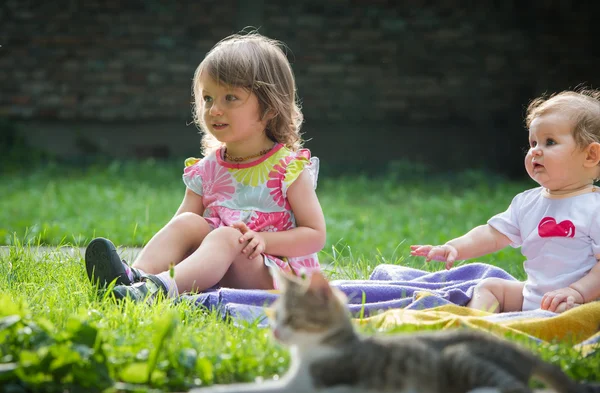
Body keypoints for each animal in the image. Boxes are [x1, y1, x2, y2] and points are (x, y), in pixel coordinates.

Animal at [193, 270, 600, 392]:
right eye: (274, 317)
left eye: (291, 318)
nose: (275, 334)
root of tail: (520, 350)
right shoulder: (293, 381)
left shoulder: (331, 383)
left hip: (458, 357)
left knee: (514, 388)